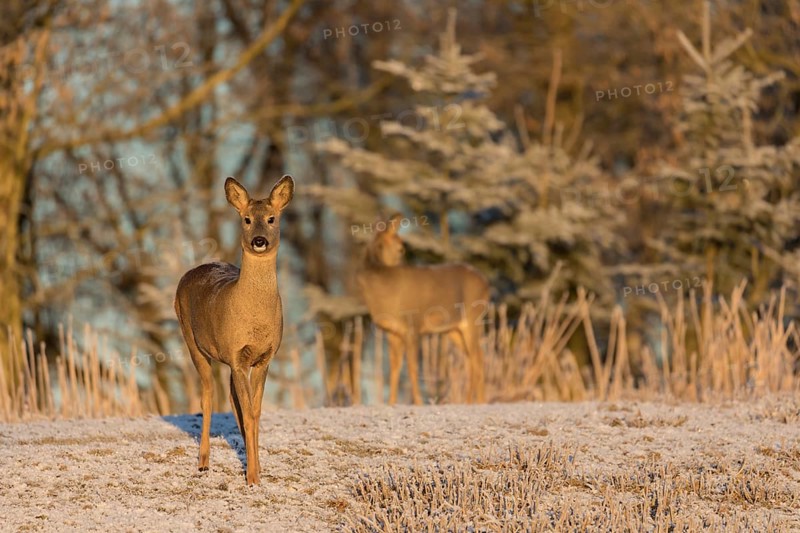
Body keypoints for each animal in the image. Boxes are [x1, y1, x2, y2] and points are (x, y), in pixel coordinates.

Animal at [174, 174, 293, 486]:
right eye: (247, 219)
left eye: (272, 218)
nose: (259, 241)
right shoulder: (237, 356)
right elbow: (248, 413)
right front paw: (251, 478)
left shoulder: (263, 358)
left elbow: (254, 412)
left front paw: (257, 471)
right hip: (191, 340)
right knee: (207, 395)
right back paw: (203, 462)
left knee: (231, 399)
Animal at [356, 214, 490, 405]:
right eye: (400, 249)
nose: (403, 258)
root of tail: (486, 282)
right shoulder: (392, 331)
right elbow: (395, 367)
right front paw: (391, 403)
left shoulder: (413, 325)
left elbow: (412, 367)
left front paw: (418, 402)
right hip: (454, 329)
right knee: (472, 358)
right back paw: (470, 400)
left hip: (474, 318)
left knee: (478, 358)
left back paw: (479, 401)